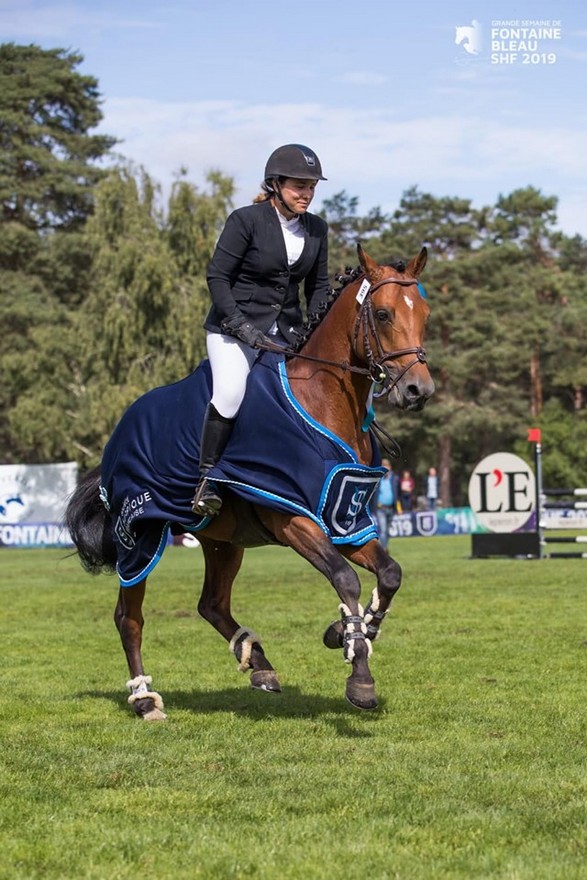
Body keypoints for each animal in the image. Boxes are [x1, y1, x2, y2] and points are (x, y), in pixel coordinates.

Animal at [66, 244, 434, 720]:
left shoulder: (348, 522)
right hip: (141, 536)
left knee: (212, 604)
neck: (323, 401)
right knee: (128, 616)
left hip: (223, 541)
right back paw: (145, 700)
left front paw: (349, 633)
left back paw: (258, 664)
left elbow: (390, 574)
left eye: (424, 312)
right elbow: (345, 579)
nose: (418, 390)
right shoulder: (295, 520)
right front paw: (359, 674)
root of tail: (120, 430)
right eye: (385, 314)